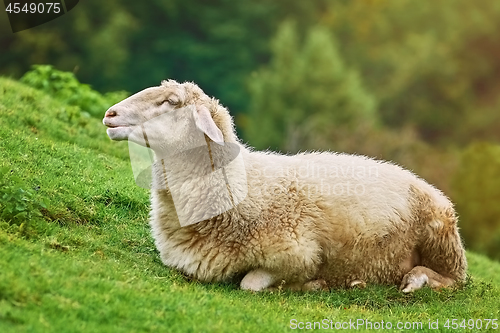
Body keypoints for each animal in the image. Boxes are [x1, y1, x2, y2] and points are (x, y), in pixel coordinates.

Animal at [103, 79, 466, 292]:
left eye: (171, 102)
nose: (110, 114)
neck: (241, 191)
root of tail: (417, 177)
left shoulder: (296, 255)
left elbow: (250, 283)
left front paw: (310, 286)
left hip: (442, 238)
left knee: (453, 281)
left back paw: (412, 281)